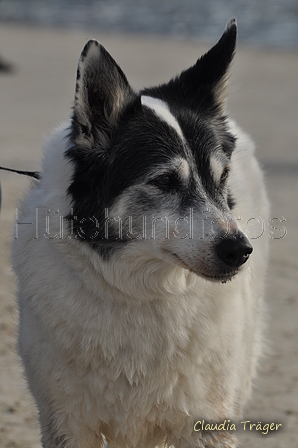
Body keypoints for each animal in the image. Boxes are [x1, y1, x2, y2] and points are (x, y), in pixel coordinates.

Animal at [12, 18, 270, 448]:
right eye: (164, 181)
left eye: (222, 178)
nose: (239, 251)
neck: (143, 291)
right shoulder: (65, 421)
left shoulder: (205, 423)